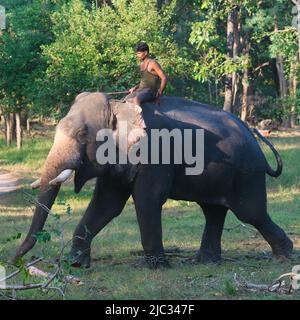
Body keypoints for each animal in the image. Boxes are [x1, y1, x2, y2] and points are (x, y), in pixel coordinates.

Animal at [12, 92, 292, 268]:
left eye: (82, 134)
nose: (15, 261)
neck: (118, 106)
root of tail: (253, 136)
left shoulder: (155, 154)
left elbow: (147, 200)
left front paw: (158, 267)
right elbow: (106, 205)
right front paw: (77, 265)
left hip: (246, 174)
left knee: (250, 213)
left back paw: (285, 257)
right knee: (213, 211)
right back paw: (205, 261)